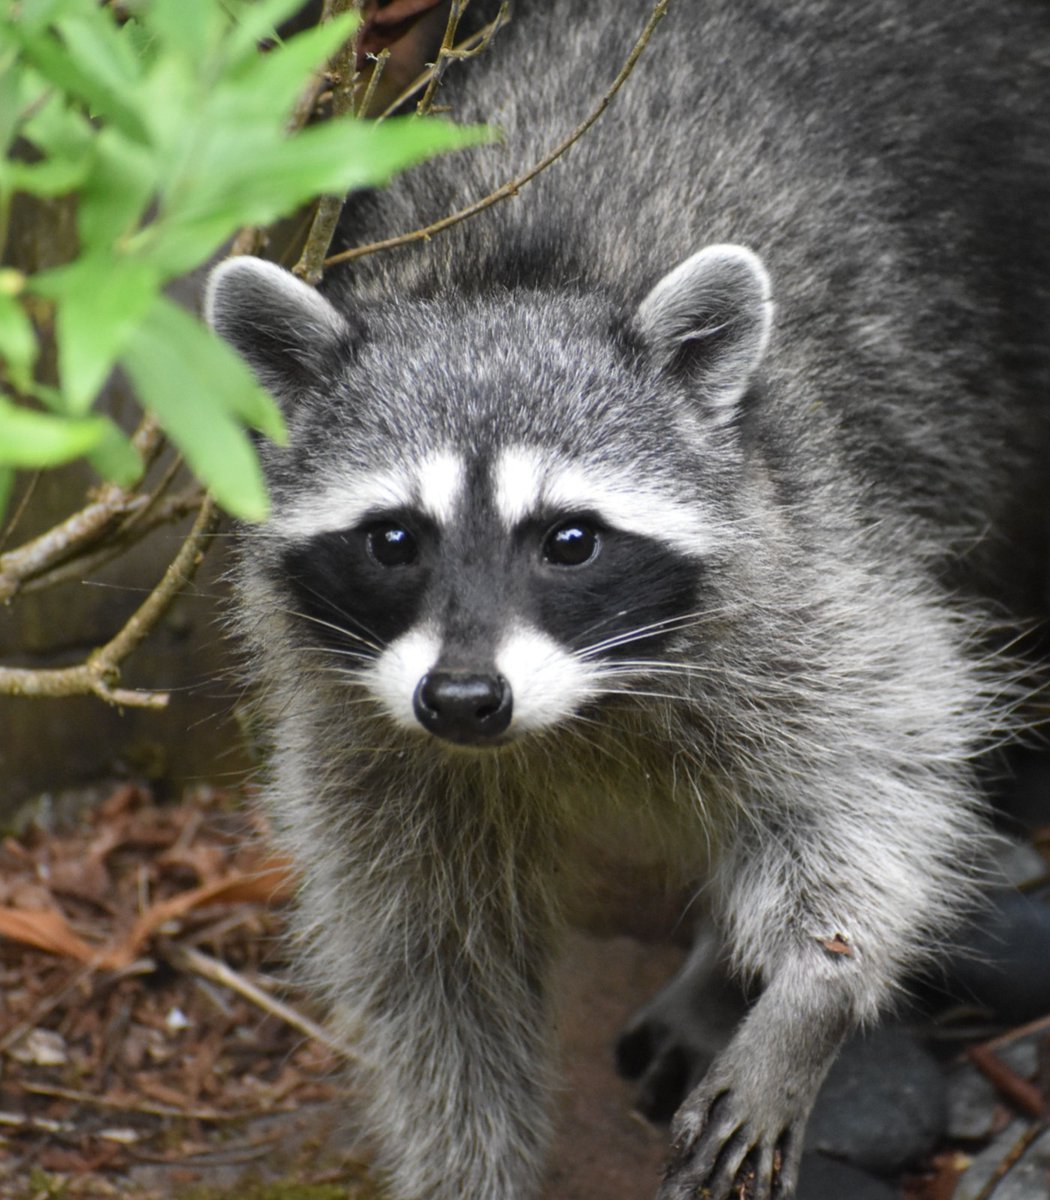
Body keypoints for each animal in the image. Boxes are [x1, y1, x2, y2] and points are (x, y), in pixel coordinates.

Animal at [204, 0, 1050, 1197]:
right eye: (394, 540)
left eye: (569, 541)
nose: (463, 701)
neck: (508, 275)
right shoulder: (359, 729)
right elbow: (432, 973)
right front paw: (464, 1159)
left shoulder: (811, 559)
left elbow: (879, 768)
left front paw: (813, 987)